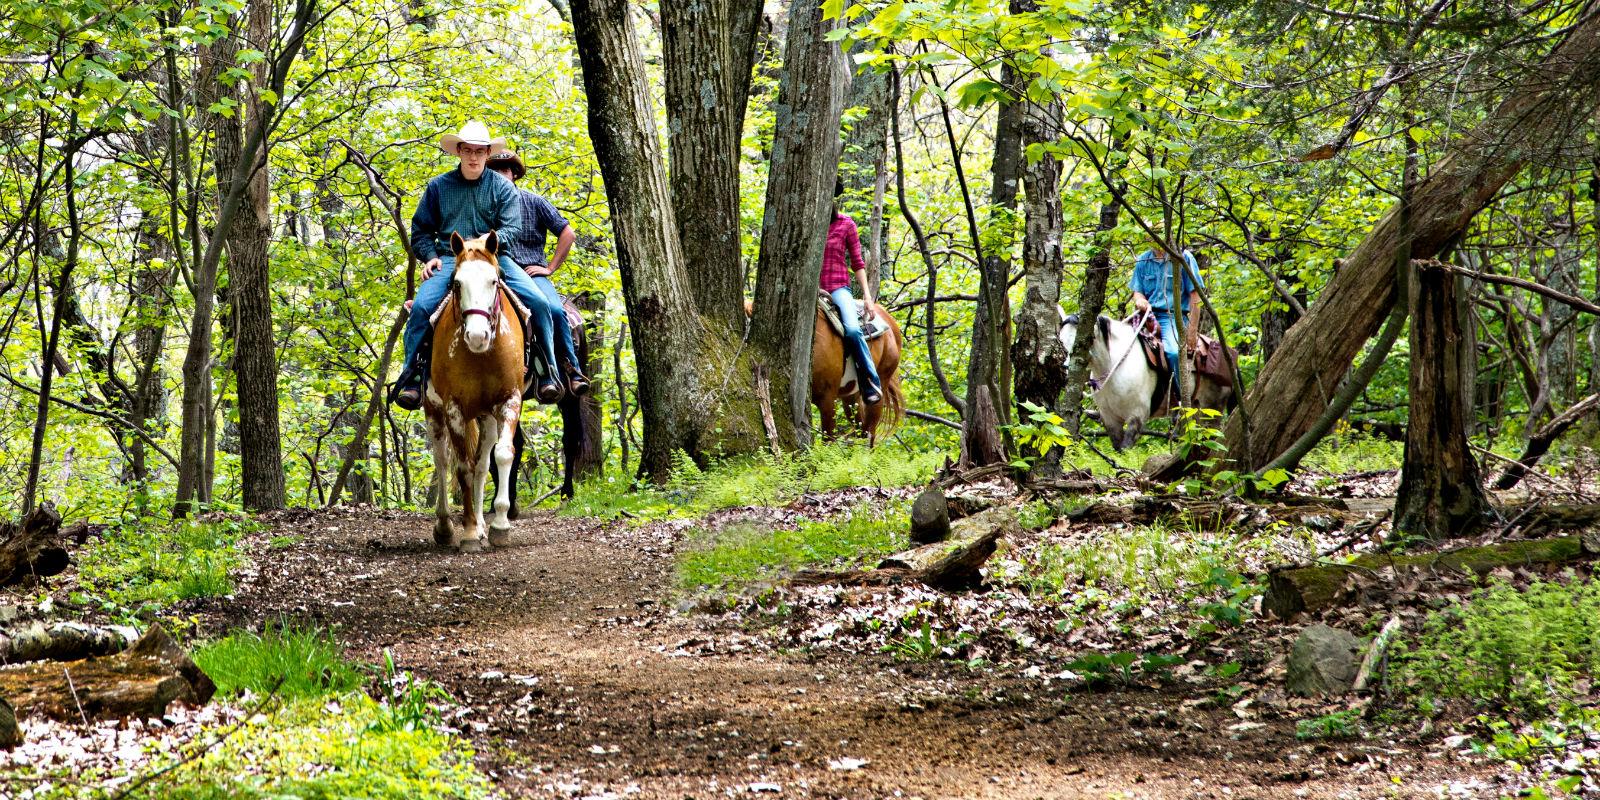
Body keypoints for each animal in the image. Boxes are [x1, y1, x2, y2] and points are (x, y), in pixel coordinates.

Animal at [425, 232, 524, 550]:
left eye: (495, 280)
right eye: (456, 283)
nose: (477, 336)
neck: (482, 356)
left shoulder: (509, 401)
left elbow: (502, 455)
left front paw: (499, 526)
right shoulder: (454, 408)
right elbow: (462, 467)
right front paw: (467, 531)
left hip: (487, 417)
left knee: (482, 464)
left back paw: (482, 525)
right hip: (433, 410)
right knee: (442, 461)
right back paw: (445, 526)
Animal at [1062, 310, 1235, 451]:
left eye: (1083, 343)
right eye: (1061, 341)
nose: (1065, 370)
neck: (1114, 367)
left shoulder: (1137, 415)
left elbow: (1125, 449)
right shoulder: (1109, 418)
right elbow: (1117, 447)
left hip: (1212, 409)